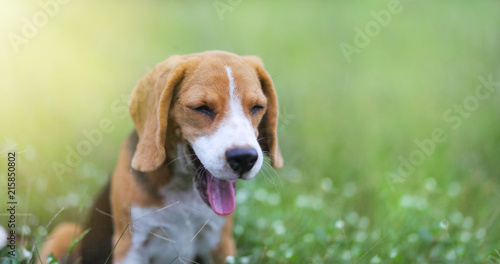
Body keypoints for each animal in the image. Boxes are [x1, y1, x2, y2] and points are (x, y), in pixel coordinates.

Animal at [40, 50, 282, 262]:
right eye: (201, 108)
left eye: (257, 107)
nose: (244, 158)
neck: (184, 191)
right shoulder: (130, 248)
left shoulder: (221, 244)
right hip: (64, 232)